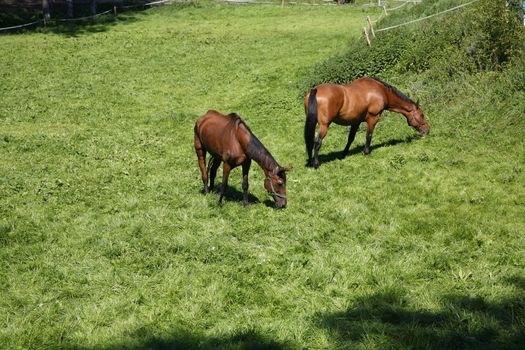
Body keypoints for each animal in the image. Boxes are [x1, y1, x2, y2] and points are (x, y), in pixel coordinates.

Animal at [302, 77, 430, 170]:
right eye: (422, 115)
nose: (427, 130)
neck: (381, 91)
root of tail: (315, 90)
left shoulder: (356, 122)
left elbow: (350, 138)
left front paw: (344, 154)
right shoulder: (373, 119)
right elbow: (369, 136)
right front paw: (366, 152)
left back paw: (311, 162)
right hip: (324, 125)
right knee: (317, 142)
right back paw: (316, 164)